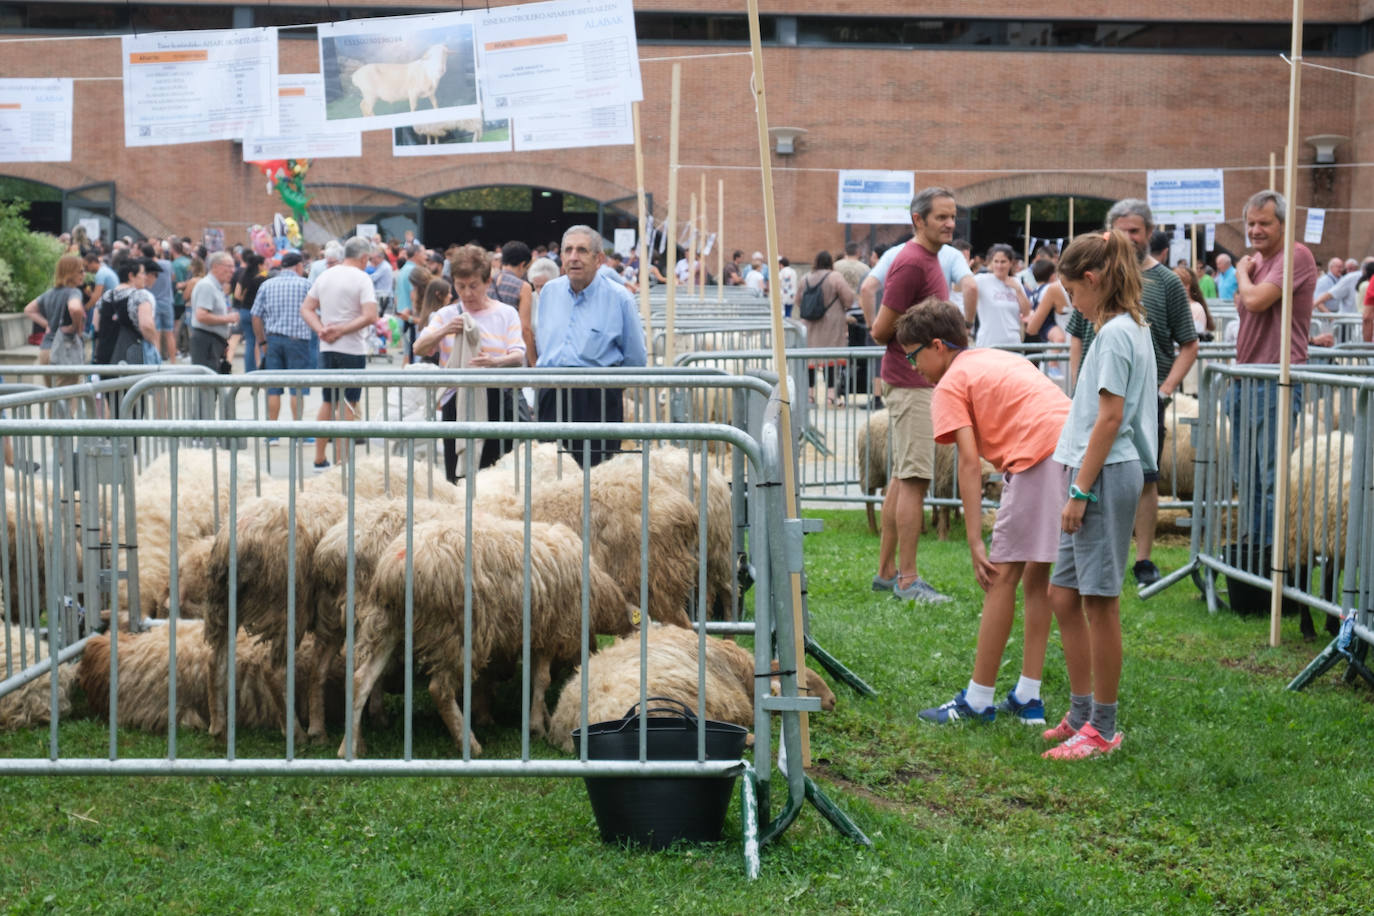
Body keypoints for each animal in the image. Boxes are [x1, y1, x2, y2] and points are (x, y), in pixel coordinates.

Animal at [200, 491, 348, 741]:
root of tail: (240, 537)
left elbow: (319, 669)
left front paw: (318, 728)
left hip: (222, 605)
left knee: (215, 660)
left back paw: (218, 728)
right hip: (289, 606)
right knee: (274, 670)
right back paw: (295, 733)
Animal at [343, 516, 637, 758]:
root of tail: (395, 566)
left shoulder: (536, 631)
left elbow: (534, 679)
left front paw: (540, 717)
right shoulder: (551, 629)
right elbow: (542, 679)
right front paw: (537, 726)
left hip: (385, 622)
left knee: (361, 680)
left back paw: (351, 747)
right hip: (456, 630)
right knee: (440, 690)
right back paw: (469, 743)